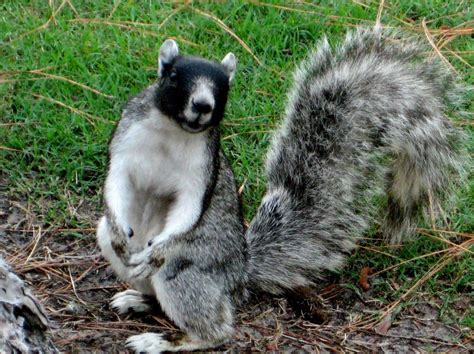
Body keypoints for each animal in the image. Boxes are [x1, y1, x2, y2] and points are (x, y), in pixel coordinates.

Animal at [95, 28, 462, 354]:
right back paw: (138, 298)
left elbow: (190, 210)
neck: (174, 131)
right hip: (115, 245)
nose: (202, 105)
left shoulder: (202, 172)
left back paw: (165, 339)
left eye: (224, 87)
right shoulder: (125, 145)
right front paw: (120, 229)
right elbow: (115, 183)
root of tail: (240, 276)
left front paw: (157, 250)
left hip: (186, 272)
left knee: (215, 327)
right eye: (171, 75)